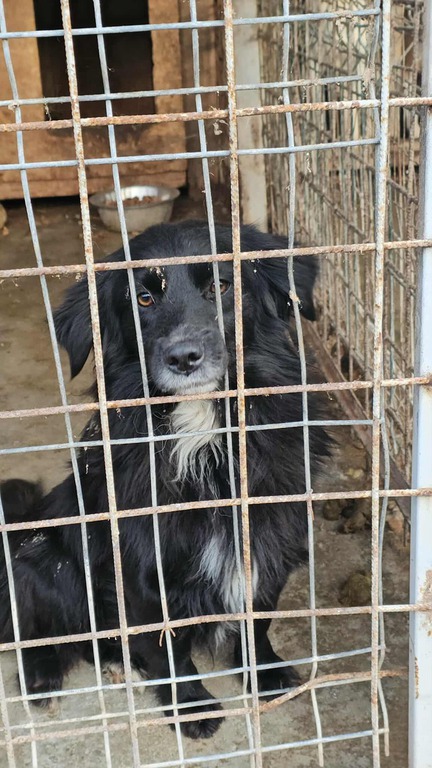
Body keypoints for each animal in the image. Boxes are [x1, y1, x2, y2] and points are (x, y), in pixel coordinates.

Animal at [0, 220, 329, 739]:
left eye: (220, 286)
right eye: (143, 299)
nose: (184, 357)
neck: (201, 436)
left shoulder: (268, 537)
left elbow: (258, 618)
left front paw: (264, 672)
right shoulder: (139, 563)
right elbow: (166, 644)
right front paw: (190, 704)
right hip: (46, 558)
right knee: (34, 626)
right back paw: (43, 677)